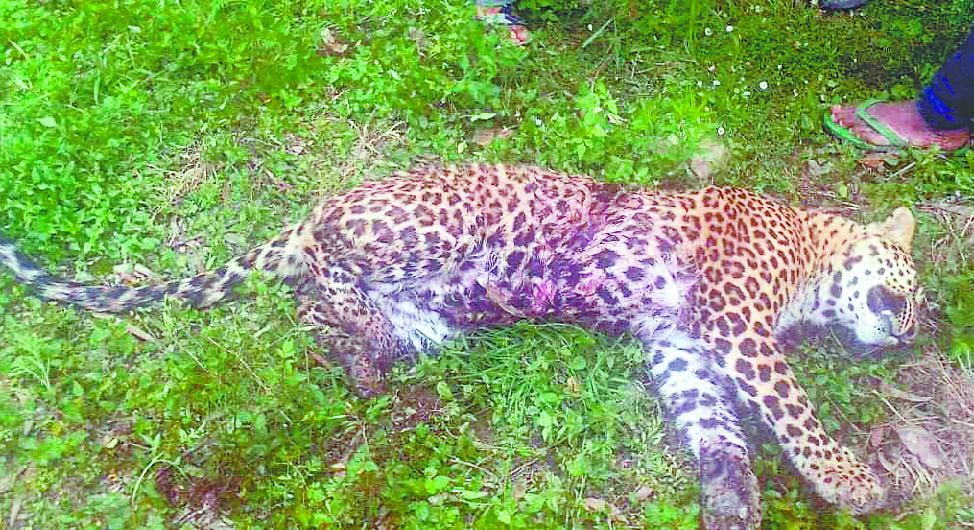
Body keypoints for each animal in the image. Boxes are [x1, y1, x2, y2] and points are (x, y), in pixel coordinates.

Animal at [0, 163, 919, 529]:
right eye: (910, 291)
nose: (909, 335)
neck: (812, 254)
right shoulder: (735, 322)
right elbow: (792, 408)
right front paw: (852, 482)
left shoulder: (681, 344)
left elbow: (715, 425)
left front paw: (734, 500)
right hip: (434, 227)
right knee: (322, 258)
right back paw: (354, 317)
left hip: (432, 320)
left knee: (312, 310)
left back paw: (361, 355)